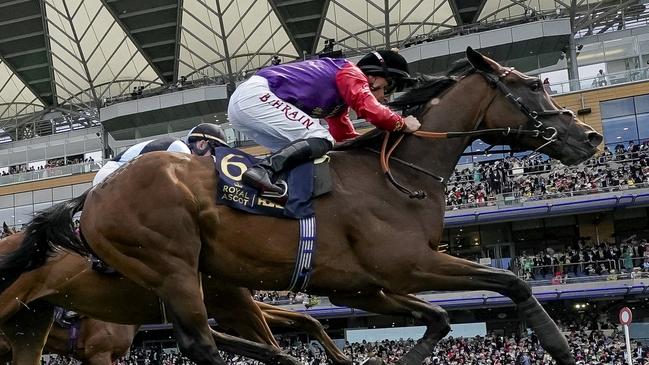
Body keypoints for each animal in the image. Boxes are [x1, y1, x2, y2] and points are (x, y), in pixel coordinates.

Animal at [0, 48, 600, 364]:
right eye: (533, 86)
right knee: (200, 344)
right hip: (172, 266)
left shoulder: (359, 287)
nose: (591, 137)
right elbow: (514, 283)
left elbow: (439, 318)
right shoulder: (407, 264)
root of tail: (91, 196)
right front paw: (561, 348)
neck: (398, 177)